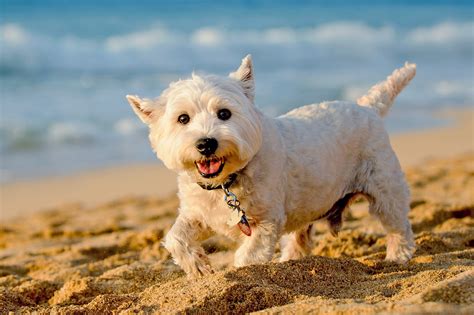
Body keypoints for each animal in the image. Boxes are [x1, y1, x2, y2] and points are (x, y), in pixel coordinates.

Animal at [125, 55, 414, 278]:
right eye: (182, 119)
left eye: (224, 114)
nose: (206, 143)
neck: (226, 183)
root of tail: (368, 108)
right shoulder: (199, 213)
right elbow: (175, 237)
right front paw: (198, 267)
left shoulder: (265, 221)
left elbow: (248, 256)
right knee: (300, 239)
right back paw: (290, 261)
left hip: (384, 186)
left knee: (397, 224)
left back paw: (397, 256)